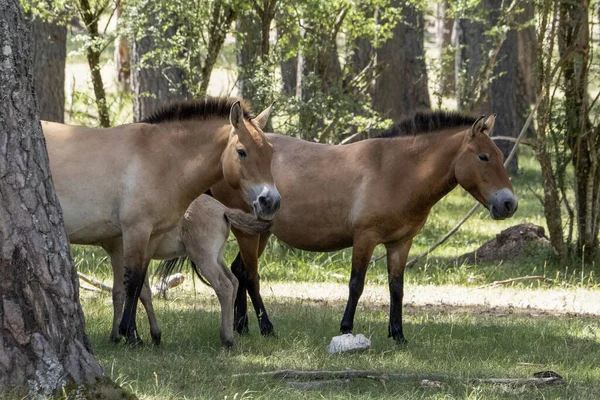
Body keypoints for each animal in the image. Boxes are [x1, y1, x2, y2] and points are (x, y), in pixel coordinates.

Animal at [42, 98, 282, 346]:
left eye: (270, 152)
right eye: (242, 152)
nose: (270, 202)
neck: (158, 159)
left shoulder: (147, 239)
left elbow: (137, 285)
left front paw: (131, 334)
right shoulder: (135, 232)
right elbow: (132, 282)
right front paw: (130, 334)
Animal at [210, 111, 516, 344]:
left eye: (499, 155)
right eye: (484, 157)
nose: (509, 204)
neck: (399, 172)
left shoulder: (401, 243)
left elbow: (397, 287)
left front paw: (397, 334)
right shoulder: (365, 238)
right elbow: (356, 284)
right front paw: (346, 328)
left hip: (261, 232)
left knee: (240, 271)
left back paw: (242, 325)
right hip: (249, 233)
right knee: (251, 276)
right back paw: (266, 328)